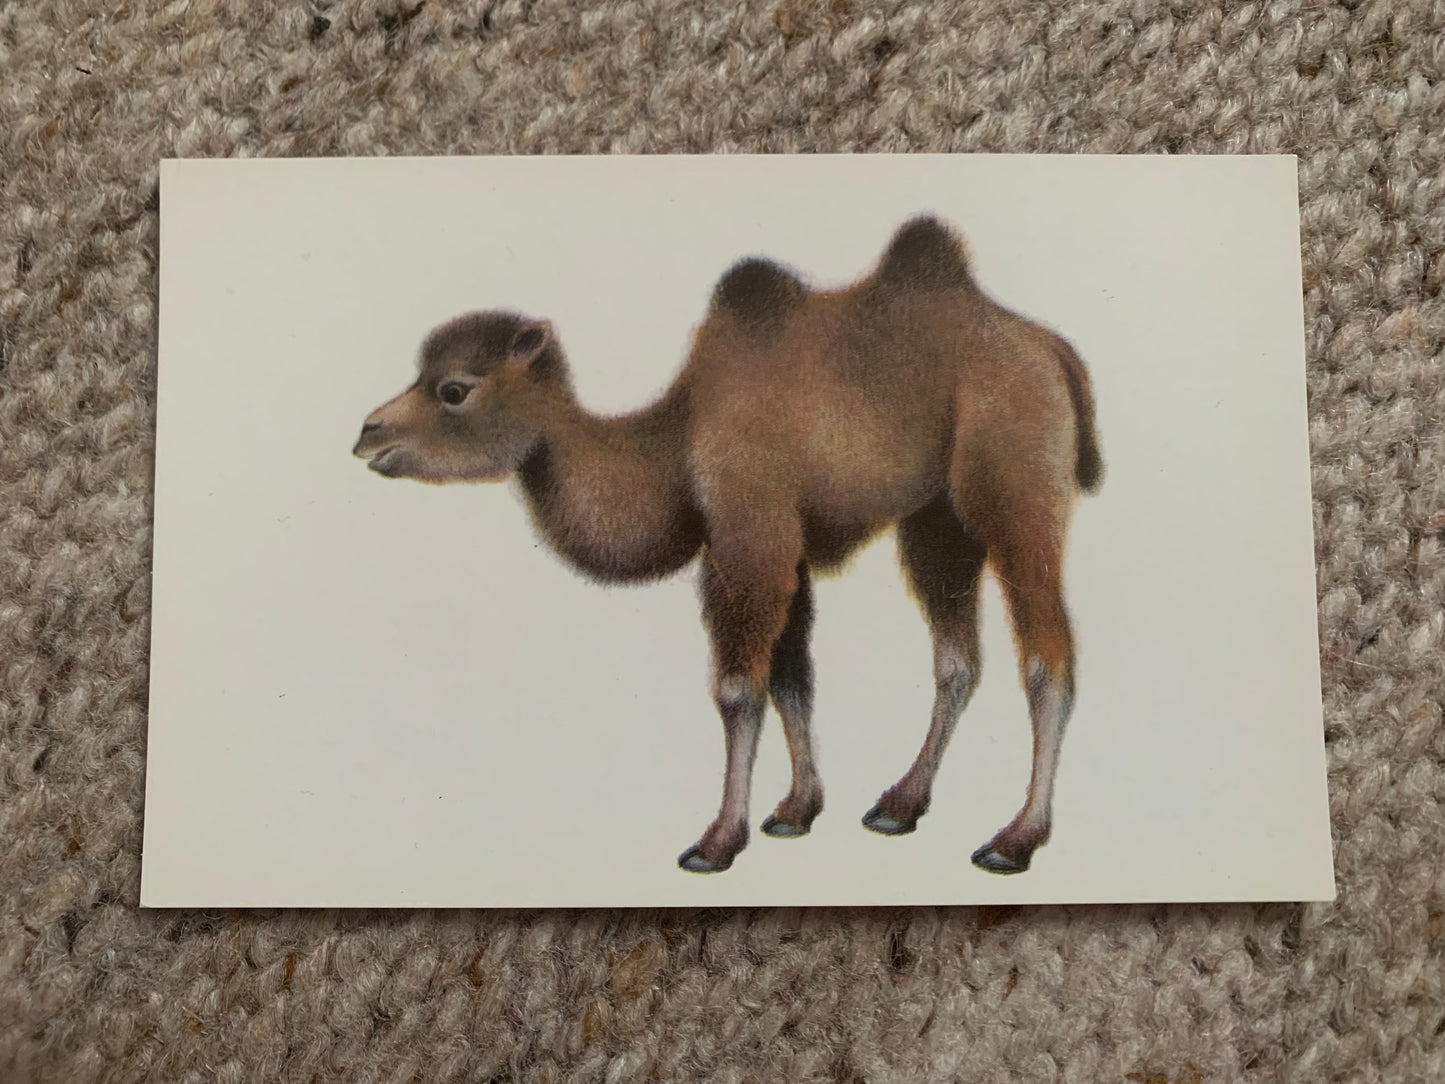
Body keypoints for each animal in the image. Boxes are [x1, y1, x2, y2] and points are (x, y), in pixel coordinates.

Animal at [352, 215, 1102, 875]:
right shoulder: (783, 549)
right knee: (956, 659)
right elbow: (792, 677)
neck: (674, 445)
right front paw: (797, 810)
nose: (367, 432)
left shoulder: (748, 537)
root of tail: (1052, 351)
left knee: (1047, 656)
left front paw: (716, 842)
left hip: (1014, 478)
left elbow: (740, 688)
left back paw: (1015, 839)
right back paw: (899, 803)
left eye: (454, 389)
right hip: (934, 518)